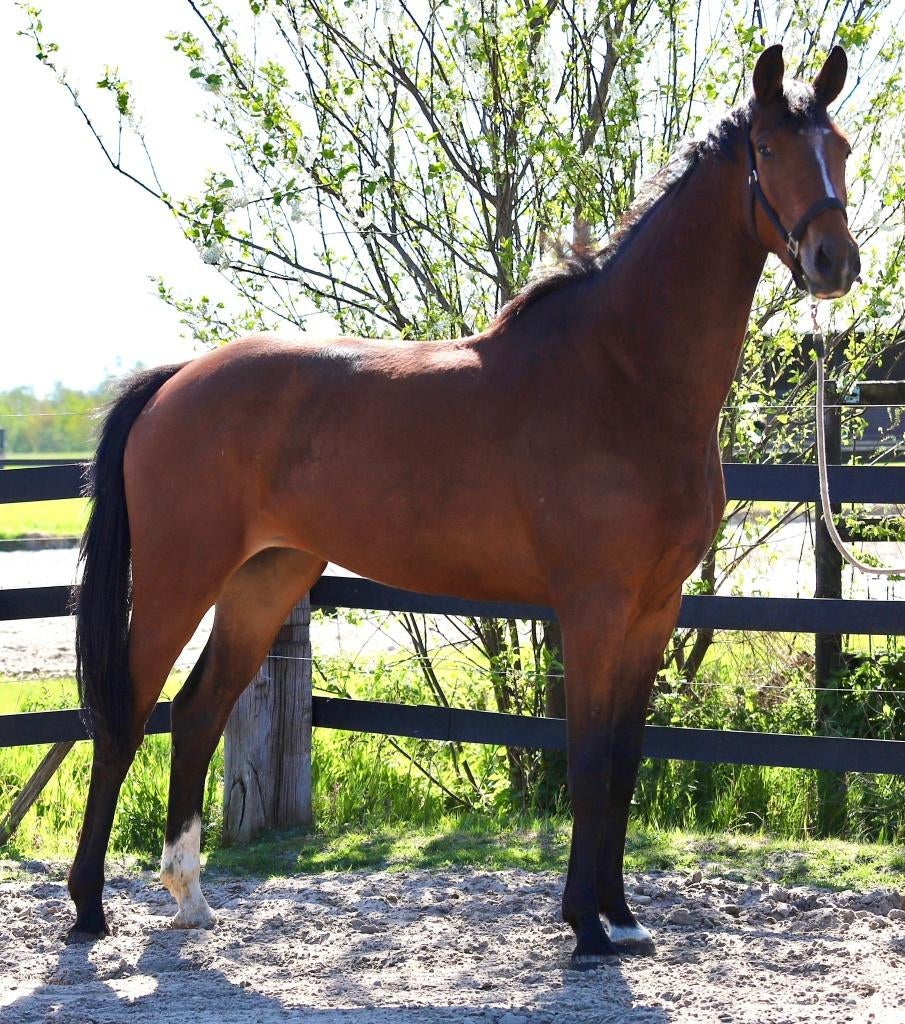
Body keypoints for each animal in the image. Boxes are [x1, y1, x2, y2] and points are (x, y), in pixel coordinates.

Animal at [67, 45, 859, 967]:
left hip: (263, 581)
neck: (622, 375)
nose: (833, 262)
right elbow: (588, 763)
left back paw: (190, 898)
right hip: (176, 581)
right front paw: (585, 924)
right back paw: (89, 909)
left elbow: (625, 765)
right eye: (767, 150)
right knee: (123, 719)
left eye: (838, 148)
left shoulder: (654, 610)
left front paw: (623, 917)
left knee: (196, 713)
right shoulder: (593, 609)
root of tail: (176, 381)